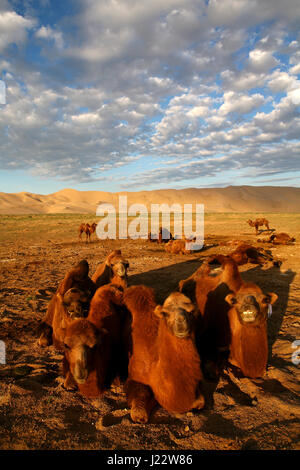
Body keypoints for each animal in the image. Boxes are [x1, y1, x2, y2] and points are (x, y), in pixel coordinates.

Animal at [123, 284, 205, 424]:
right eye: (165, 313)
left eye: (191, 311)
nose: (181, 323)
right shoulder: (135, 376)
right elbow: (139, 414)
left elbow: (200, 402)